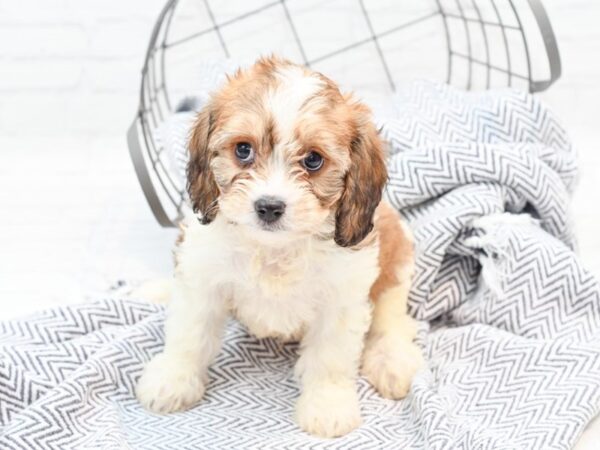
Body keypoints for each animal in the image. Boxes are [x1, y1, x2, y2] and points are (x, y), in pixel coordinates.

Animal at [137, 55, 422, 436]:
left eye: (313, 160)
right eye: (243, 150)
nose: (269, 206)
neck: (273, 248)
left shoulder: (341, 299)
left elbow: (330, 358)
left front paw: (327, 405)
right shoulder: (202, 279)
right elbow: (189, 334)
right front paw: (173, 378)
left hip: (396, 255)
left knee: (391, 319)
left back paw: (393, 360)